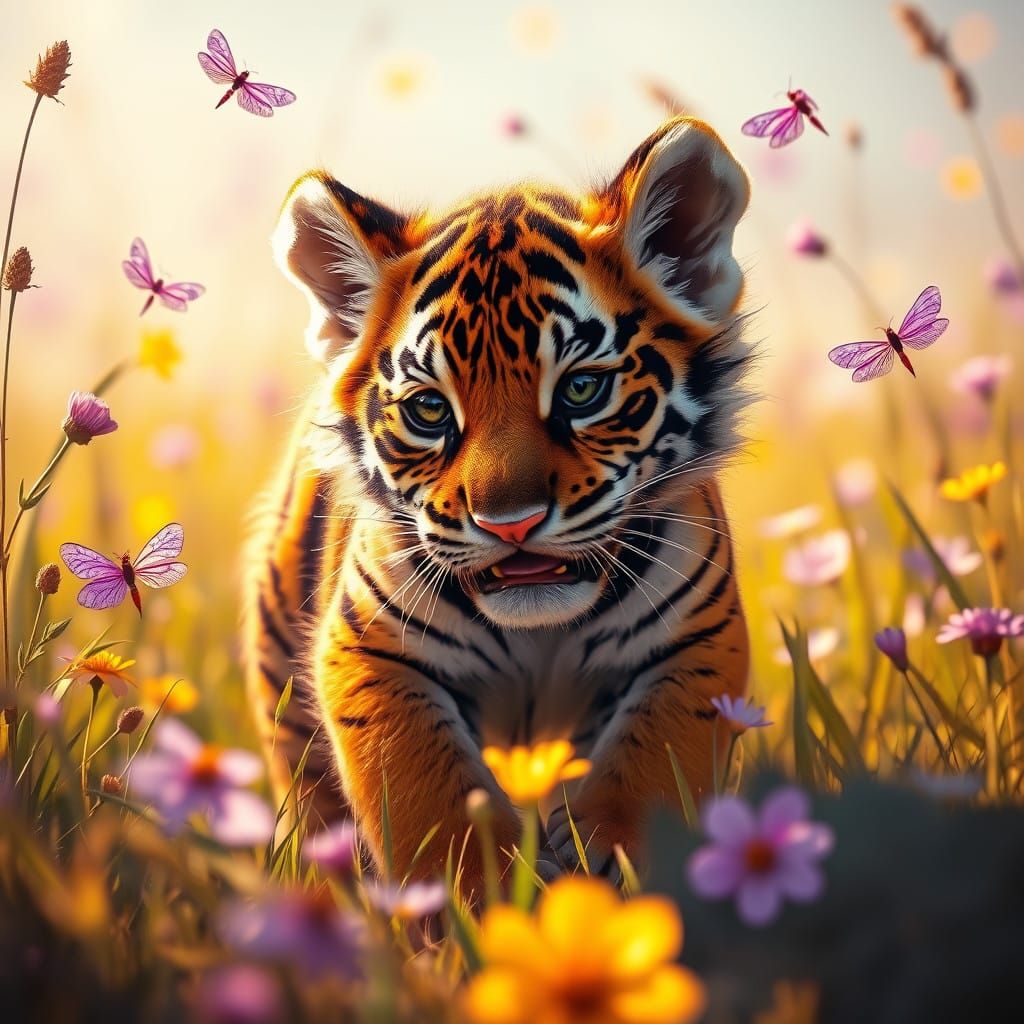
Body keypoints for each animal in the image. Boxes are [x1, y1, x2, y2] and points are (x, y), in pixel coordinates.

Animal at [245, 115, 752, 890]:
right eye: (429, 410)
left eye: (581, 390)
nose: (509, 525)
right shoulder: (368, 649)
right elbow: (430, 803)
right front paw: (475, 902)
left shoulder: (698, 641)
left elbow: (651, 779)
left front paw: (612, 879)